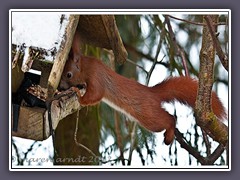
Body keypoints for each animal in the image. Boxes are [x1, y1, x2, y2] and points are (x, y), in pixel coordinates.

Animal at [58, 33, 227, 145]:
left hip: (149, 117)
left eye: (68, 74)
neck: (87, 66)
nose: (59, 87)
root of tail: (152, 93)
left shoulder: (96, 77)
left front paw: (78, 94)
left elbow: (95, 95)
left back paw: (169, 135)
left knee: (169, 119)